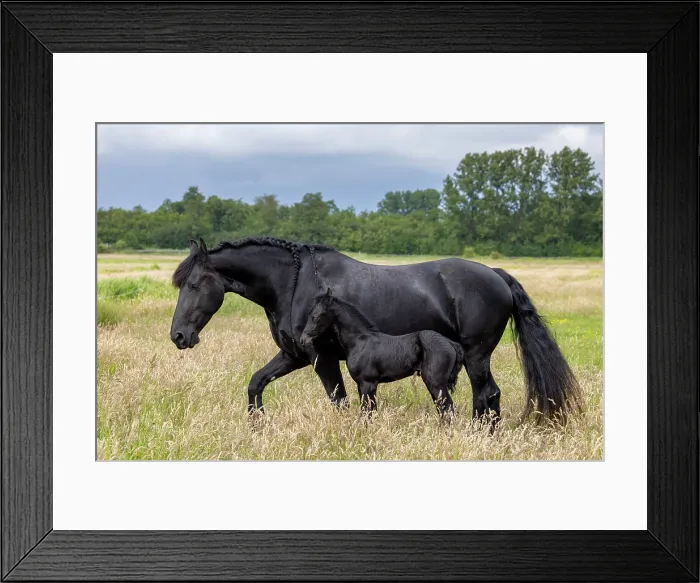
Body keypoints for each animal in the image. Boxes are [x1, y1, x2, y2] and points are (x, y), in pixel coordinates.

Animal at [299, 287, 464, 419]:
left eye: (316, 316)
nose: (302, 340)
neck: (360, 341)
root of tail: (451, 343)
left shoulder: (368, 383)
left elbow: (367, 412)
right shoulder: (361, 385)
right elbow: (368, 411)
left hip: (435, 382)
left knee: (448, 408)